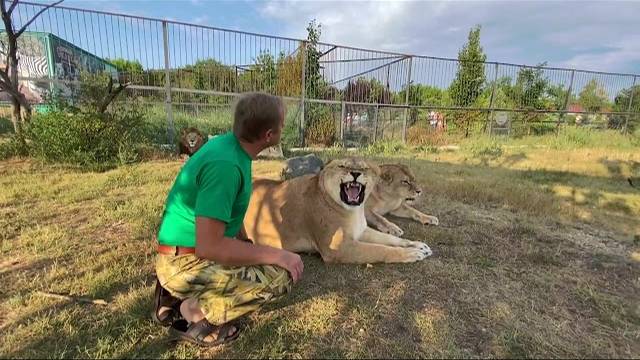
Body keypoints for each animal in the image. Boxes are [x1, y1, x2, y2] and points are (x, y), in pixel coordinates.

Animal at [242, 156, 432, 262]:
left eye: (364, 168)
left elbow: (389, 239)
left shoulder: (361, 231)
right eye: (342, 166)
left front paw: (418, 245)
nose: (355, 173)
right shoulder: (337, 249)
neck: (353, 211)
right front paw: (411, 254)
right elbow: (380, 250)